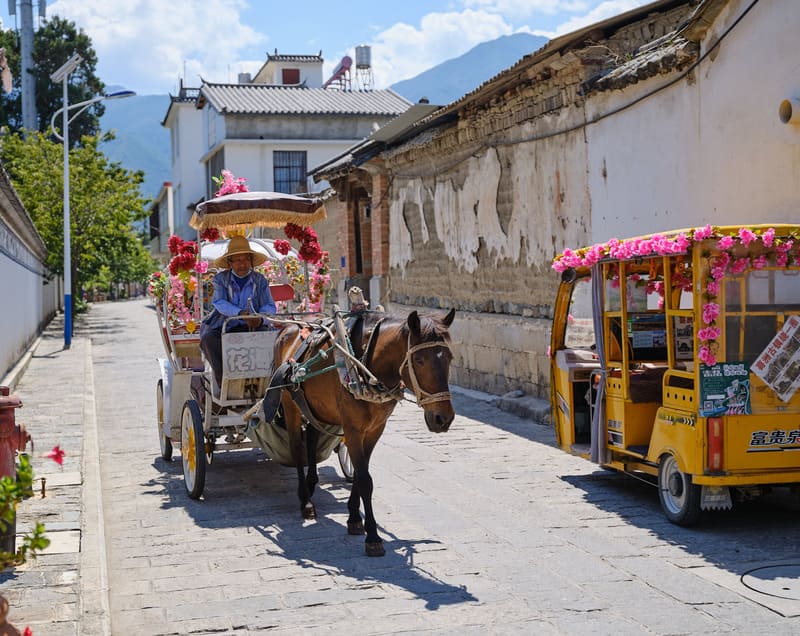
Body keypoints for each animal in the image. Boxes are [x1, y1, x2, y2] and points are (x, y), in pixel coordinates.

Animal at [268, 306, 456, 556]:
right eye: (418, 359)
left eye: (450, 357)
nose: (443, 419)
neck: (364, 363)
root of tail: (288, 326)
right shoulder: (353, 428)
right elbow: (366, 479)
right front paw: (373, 537)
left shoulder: (375, 428)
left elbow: (360, 472)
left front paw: (355, 518)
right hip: (290, 404)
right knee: (297, 448)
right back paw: (306, 501)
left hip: (319, 407)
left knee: (313, 436)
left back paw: (312, 482)